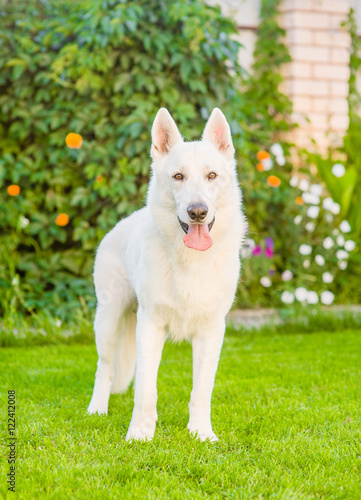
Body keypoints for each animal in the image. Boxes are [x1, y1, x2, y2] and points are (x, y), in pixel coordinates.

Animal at [88, 106, 245, 442]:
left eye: (212, 176)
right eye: (178, 176)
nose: (197, 212)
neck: (191, 260)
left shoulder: (211, 332)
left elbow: (201, 390)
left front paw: (201, 433)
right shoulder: (151, 325)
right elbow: (147, 390)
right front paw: (139, 434)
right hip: (107, 322)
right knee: (104, 368)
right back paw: (97, 409)